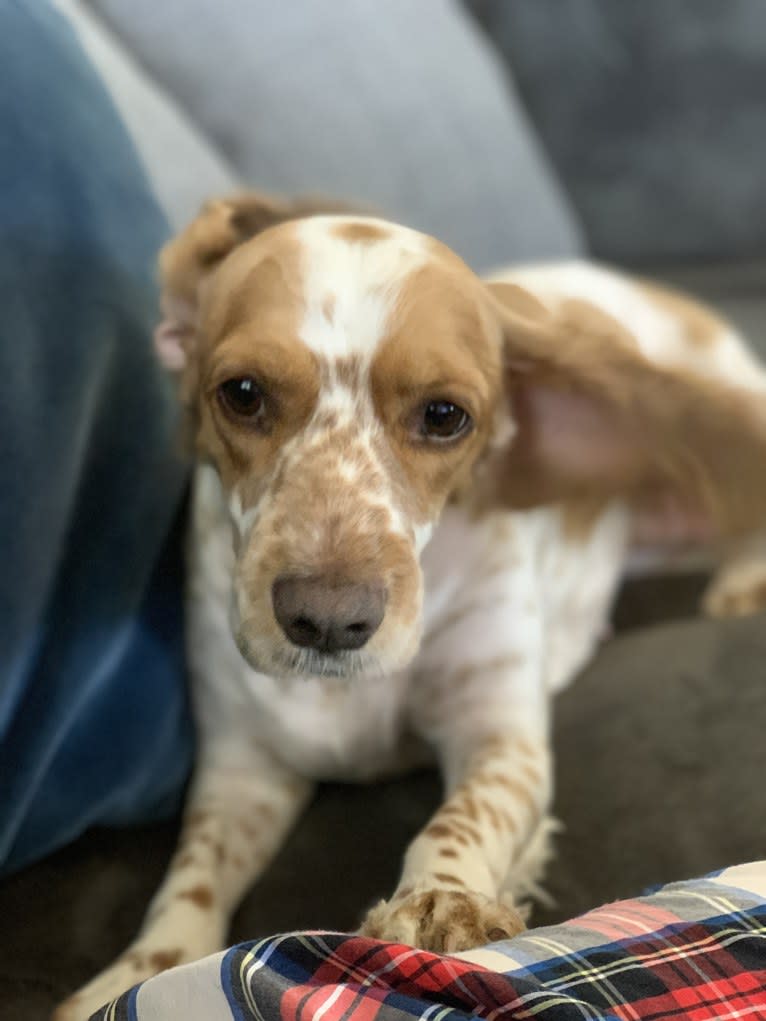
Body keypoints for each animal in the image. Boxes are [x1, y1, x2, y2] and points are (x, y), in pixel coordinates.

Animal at [55, 195, 766, 1016]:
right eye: (242, 393)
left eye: (444, 414)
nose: (329, 620)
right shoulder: (241, 767)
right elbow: (188, 881)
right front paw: (133, 974)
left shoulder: (501, 733)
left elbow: (460, 819)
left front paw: (443, 902)